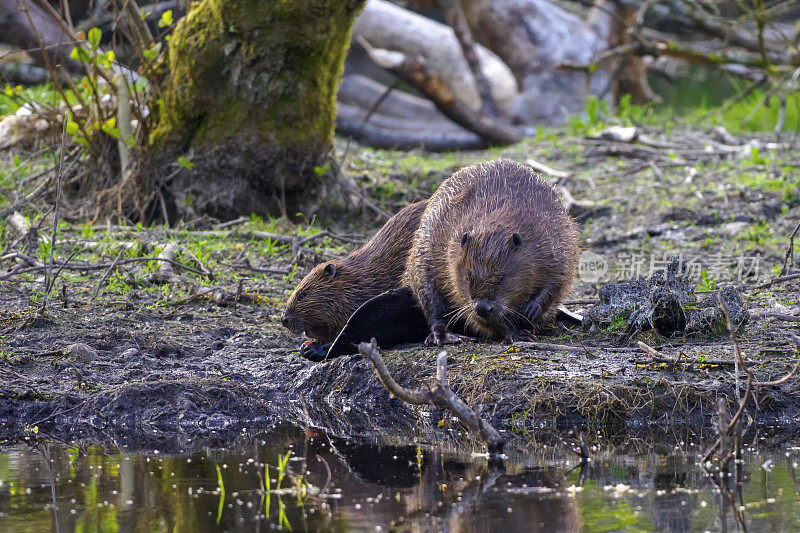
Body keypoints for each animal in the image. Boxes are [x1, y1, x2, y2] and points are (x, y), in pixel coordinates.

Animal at [404, 157, 580, 344]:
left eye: (502, 278)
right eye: (468, 277)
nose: (482, 307)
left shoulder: (551, 239)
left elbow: (557, 279)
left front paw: (531, 309)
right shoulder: (453, 266)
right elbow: (478, 317)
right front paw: (516, 333)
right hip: (423, 260)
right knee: (432, 303)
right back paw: (445, 336)